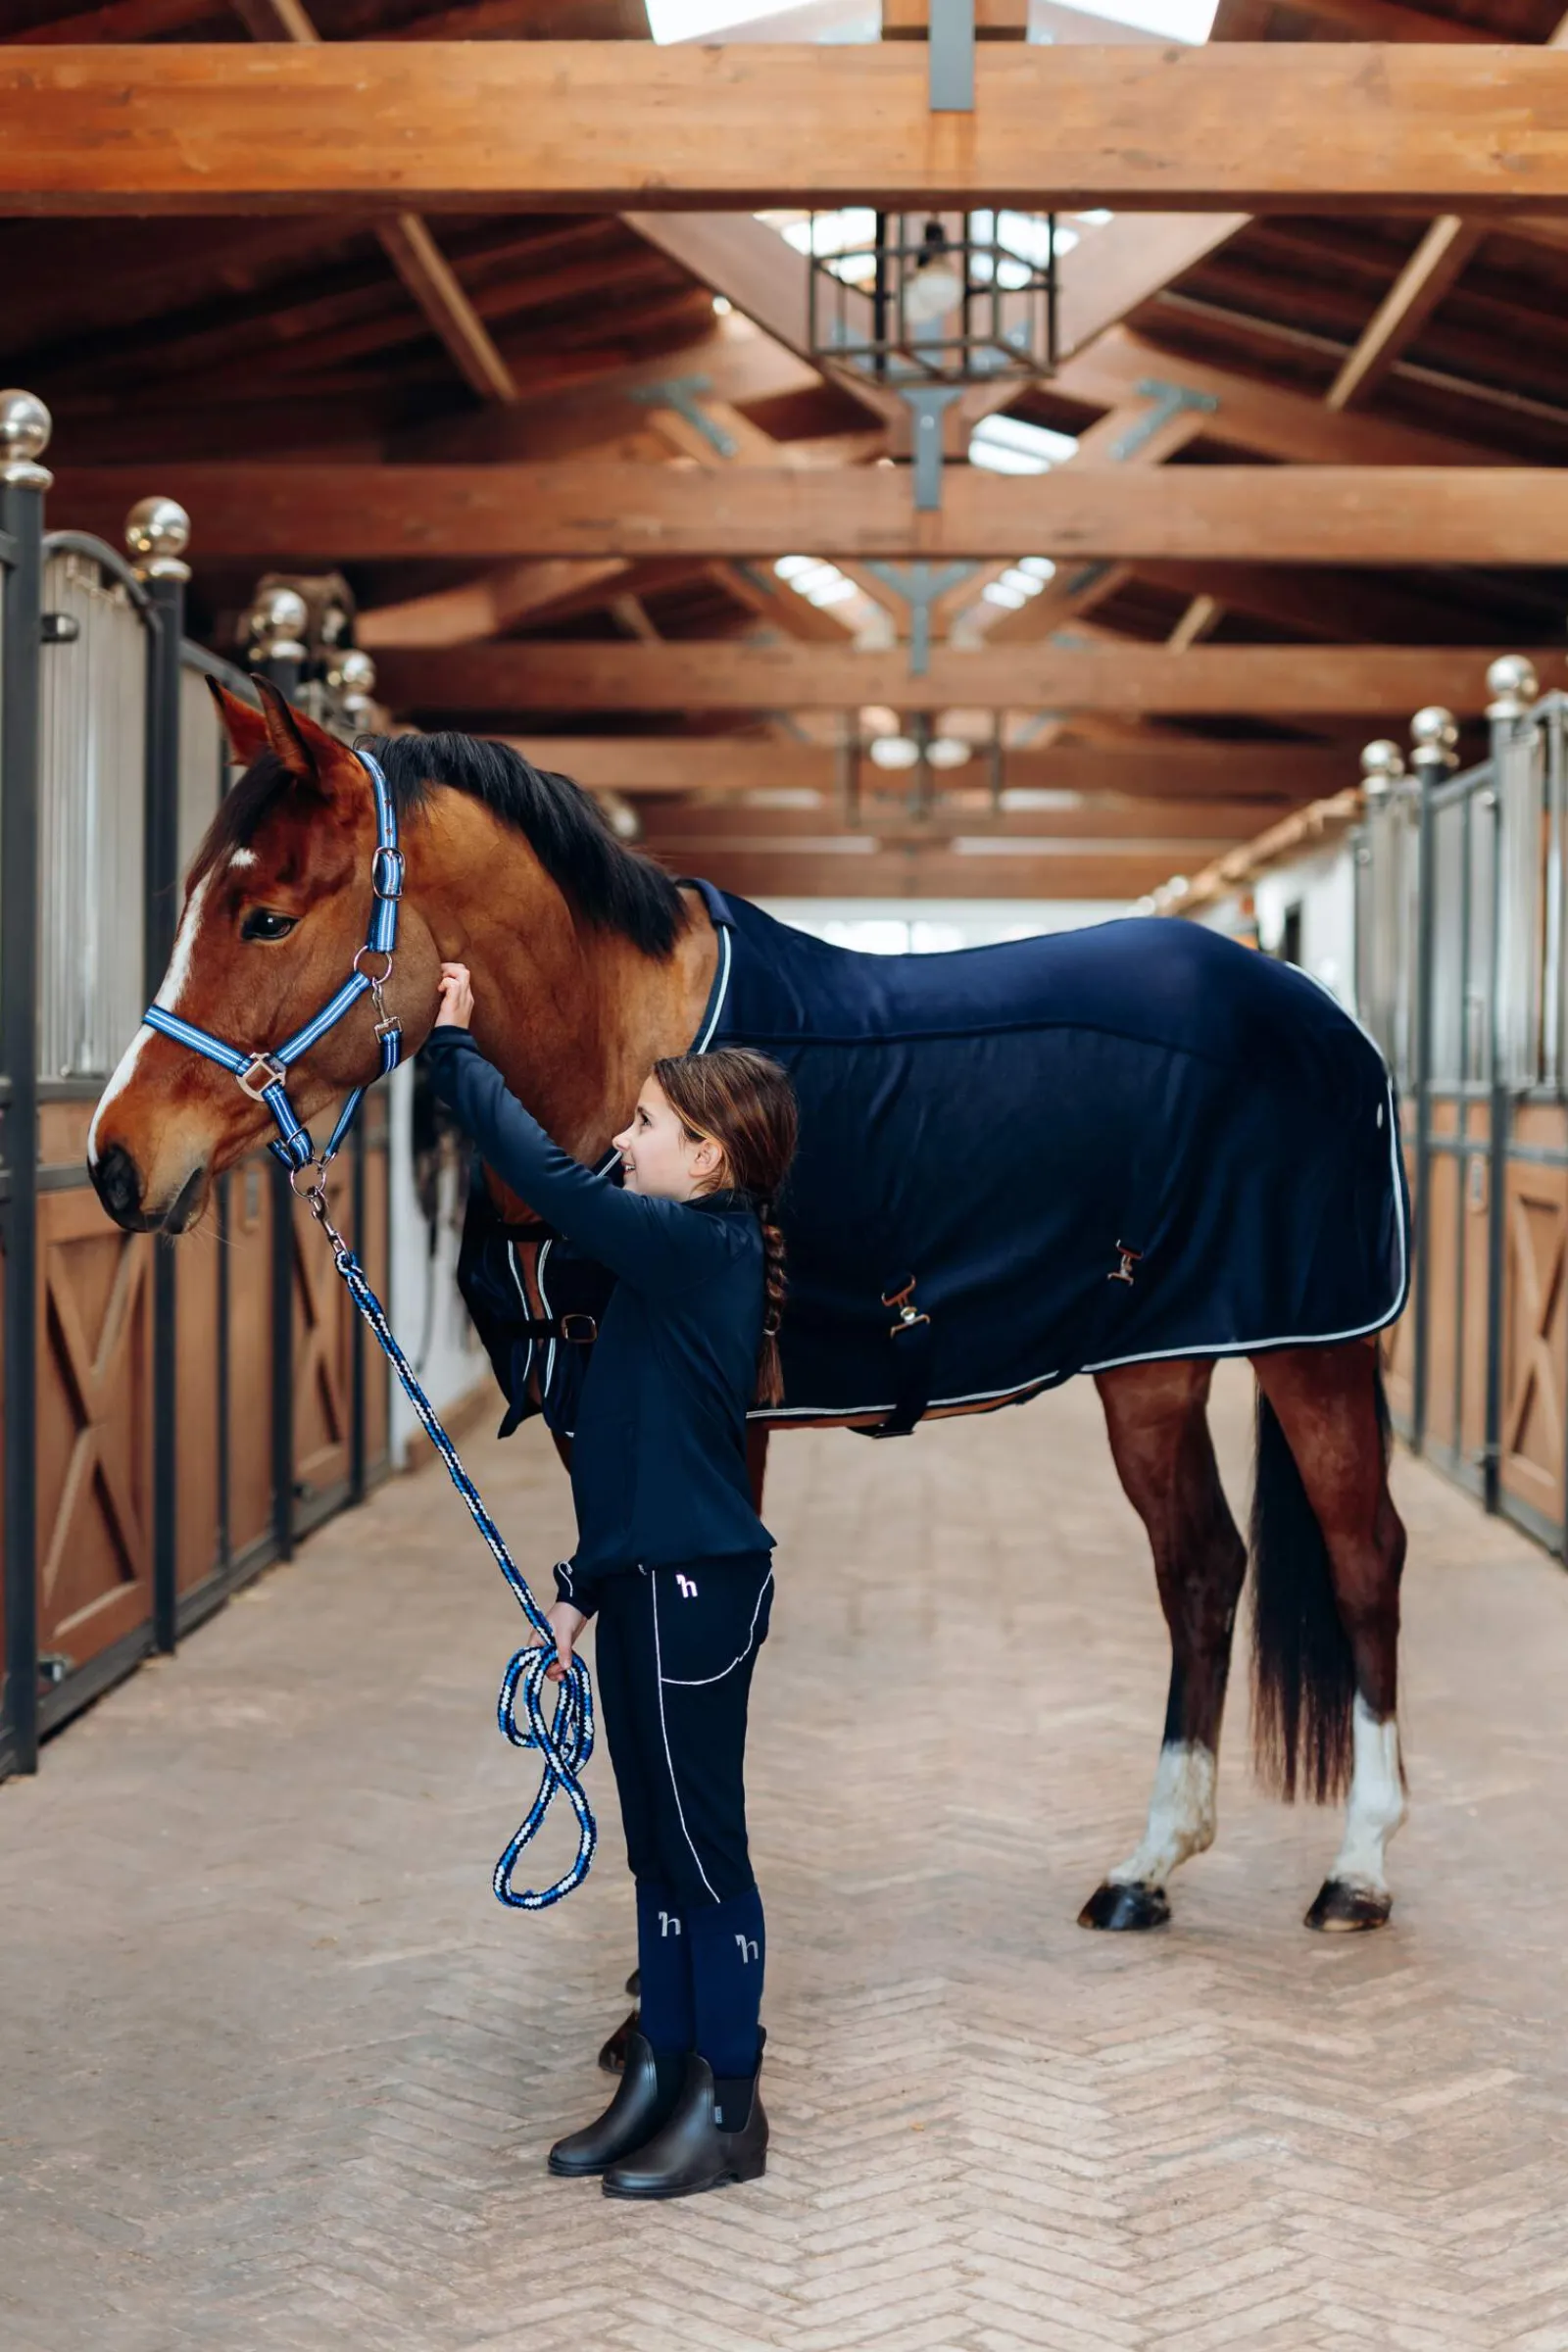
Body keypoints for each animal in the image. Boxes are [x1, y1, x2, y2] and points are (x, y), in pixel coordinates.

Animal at [89, 680, 1411, 1944]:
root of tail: (1317, 1012)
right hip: (1156, 1358)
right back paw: (1148, 1869)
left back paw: (1356, 1873)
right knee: (1201, 1568)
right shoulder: (595, 1422)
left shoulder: (721, 1431)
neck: (633, 1060)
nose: (114, 1160)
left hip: (1312, 1351)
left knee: (1361, 1560)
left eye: (267, 916)